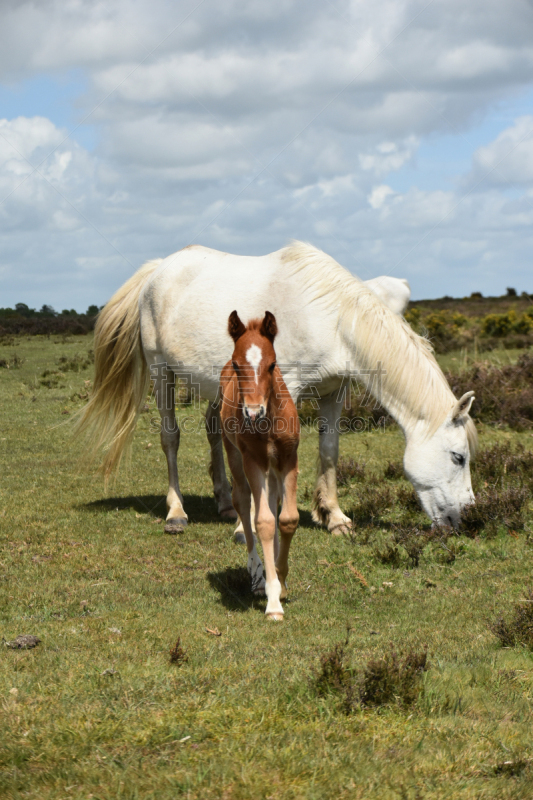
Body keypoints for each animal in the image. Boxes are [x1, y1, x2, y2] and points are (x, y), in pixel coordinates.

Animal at [80, 241, 478, 536]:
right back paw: (176, 512)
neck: (330, 319)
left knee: (214, 430)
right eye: (458, 457)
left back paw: (226, 503)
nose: (466, 519)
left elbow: (329, 450)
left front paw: (334, 517)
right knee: (170, 438)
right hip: (162, 372)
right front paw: (266, 515)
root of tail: (158, 269)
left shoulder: (334, 392)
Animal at [218, 310, 298, 620]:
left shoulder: (288, 459)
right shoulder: (252, 460)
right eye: (238, 365)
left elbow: (287, 519)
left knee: (273, 503)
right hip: (234, 453)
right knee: (242, 500)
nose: (253, 413)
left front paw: (282, 580)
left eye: (273, 364)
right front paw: (272, 599)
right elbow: (262, 521)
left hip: (272, 468)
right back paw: (256, 572)